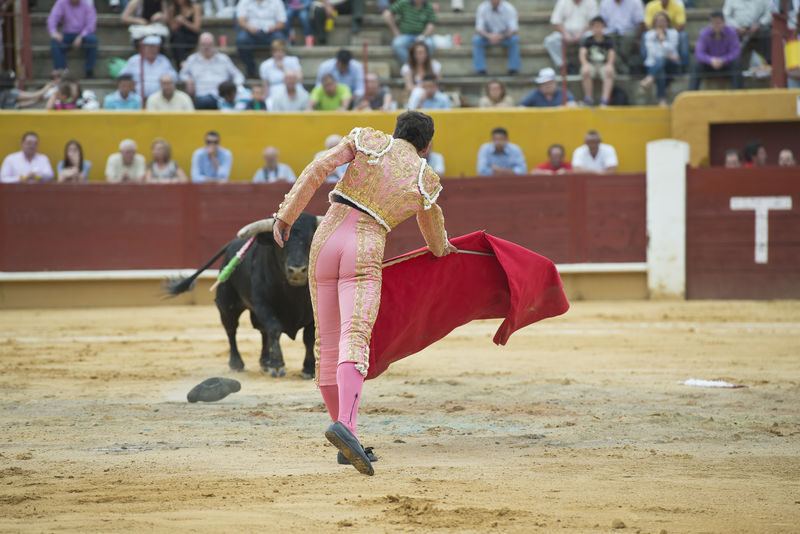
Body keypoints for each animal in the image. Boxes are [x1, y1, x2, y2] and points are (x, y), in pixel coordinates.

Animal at [166, 214, 318, 382]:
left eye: (311, 240)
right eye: (280, 244)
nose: (297, 270)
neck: (293, 293)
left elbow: (309, 337)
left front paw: (309, 369)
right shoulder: (263, 304)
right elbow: (275, 328)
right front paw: (277, 365)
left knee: (262, 331)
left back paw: (264, 361)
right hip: (227, 306)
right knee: (231, 330)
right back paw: (237, 364)